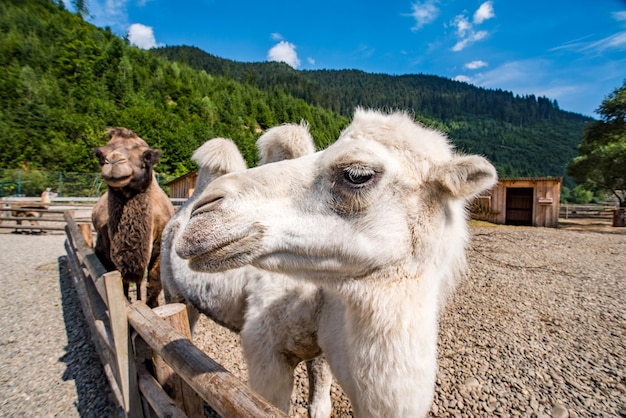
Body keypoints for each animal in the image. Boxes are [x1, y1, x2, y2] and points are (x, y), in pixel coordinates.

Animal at [91, 128, 173, 306]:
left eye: (147, 155)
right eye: (100, 154)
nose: (114, 160)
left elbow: (153, 280)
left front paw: (152, 306)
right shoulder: (107, 251)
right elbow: (121, 281)